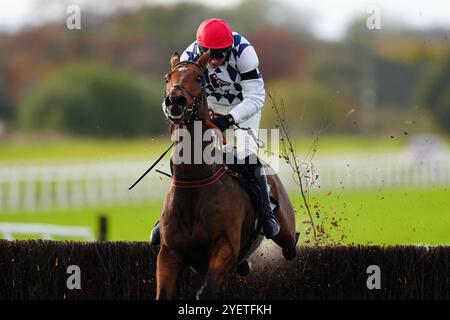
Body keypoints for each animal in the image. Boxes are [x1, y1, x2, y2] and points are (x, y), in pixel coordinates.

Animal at [156, 50, 298, 300]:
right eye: (167, 78)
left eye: (199, 78)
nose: (175, 101)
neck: (194, 184)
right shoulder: (168, 253)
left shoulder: (226, 249)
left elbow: (205, 292)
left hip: (285, 231)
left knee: (291, 245)